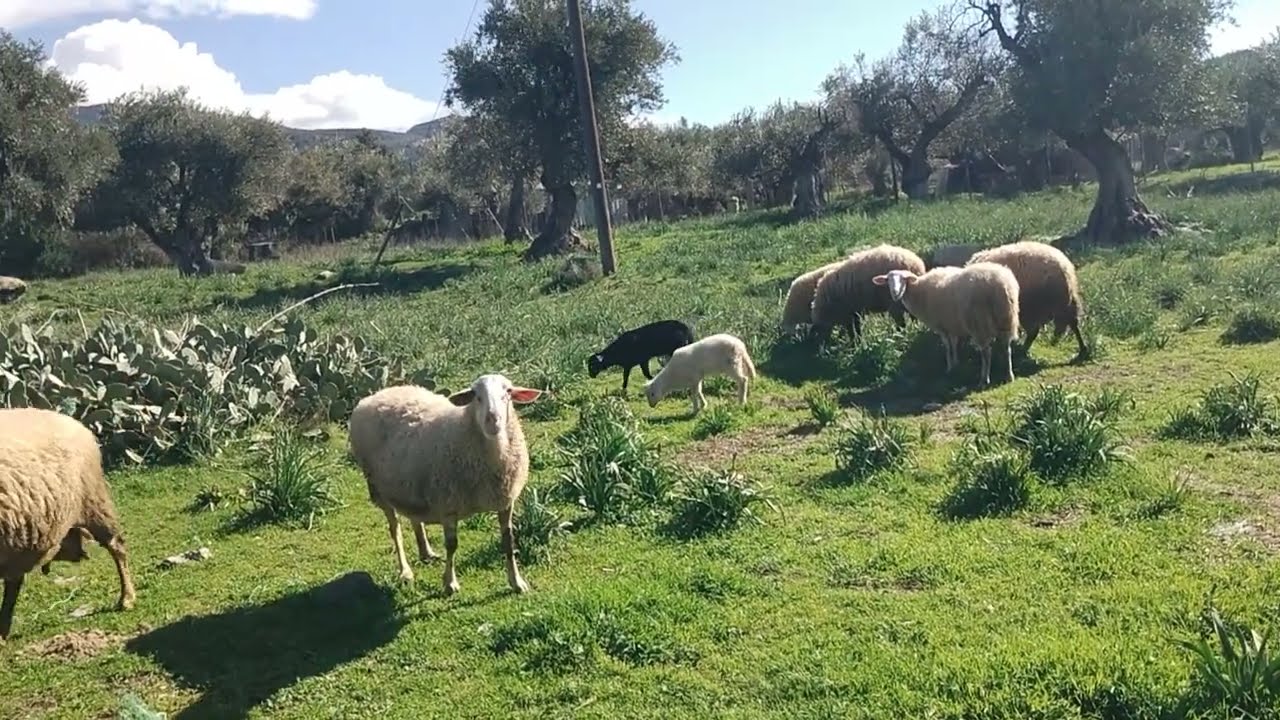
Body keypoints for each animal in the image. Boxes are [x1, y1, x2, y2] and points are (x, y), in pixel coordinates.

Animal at [348, 374, 543, 595]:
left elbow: (508, 541)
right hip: (378, 487)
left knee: (415, 518)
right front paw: (450, 583)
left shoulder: (505, 501)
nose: (492, 420)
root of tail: (378, 394)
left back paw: (426, 552)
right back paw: (405, 571)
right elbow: (452, 545)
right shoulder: (449, 504)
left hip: (410, 482)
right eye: (475, 395)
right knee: (394, 528)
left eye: (508, 392)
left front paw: (516, 582)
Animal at [873, 262, 1021, 386]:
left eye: (903, 279)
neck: (919, 292)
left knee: (986, 353)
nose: (895, 293)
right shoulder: (951, 325)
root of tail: (1001, 284)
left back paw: (984, 379)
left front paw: (950, 368)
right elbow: (953, 345)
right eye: (888, 281)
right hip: (1006, 319)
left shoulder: (942, 326)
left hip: (979, 322)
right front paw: (956, 364)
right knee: (1006, 348)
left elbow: (948, 347)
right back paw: (1009, 376)